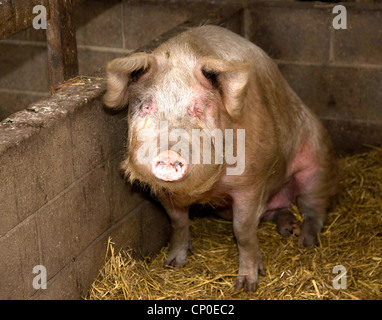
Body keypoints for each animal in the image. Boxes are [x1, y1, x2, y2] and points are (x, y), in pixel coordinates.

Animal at [101, 25, 338, 292]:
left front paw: (246, 286)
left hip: (317, 162)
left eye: (198, 109)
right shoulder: (163, 191)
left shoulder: (252, 182)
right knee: (282, 209)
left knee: (313, 207)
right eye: (146, 107)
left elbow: (243, 231)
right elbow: (178, 222)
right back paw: (288, 228)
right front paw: (173, 264)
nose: (169, 153)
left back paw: (305, 240)